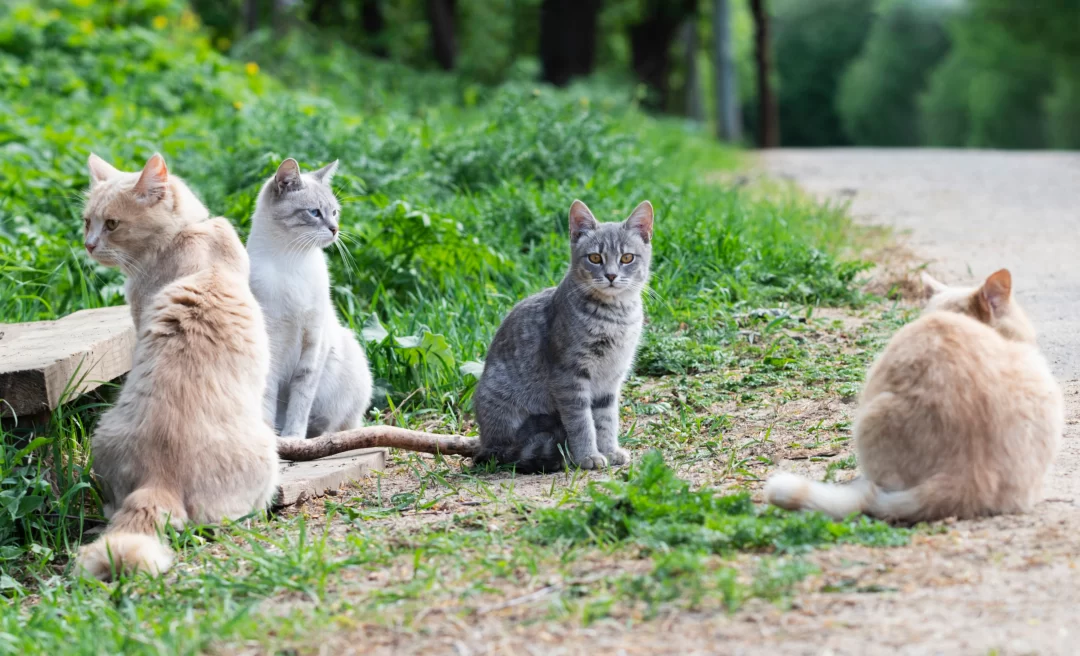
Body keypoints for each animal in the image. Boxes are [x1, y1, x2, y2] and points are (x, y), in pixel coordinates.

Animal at [247, 156, 373, 438]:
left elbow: (301, 401)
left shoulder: (313, 343)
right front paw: (275, 438)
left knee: (336, 424)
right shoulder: (272, 343)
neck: (293, 262)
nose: (335, 229)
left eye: (334, 212)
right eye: (314, 213)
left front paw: (293, 438)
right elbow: (268, 397)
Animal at [475, 198, 656, 471]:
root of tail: (486, 444)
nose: (611, 275)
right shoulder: (569, 376)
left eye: (627, 257)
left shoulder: (610, 379)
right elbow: (582, 423)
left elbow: (606, 420)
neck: (614, 317)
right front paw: (588, 456)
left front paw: (609, 450)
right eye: (594, 257)